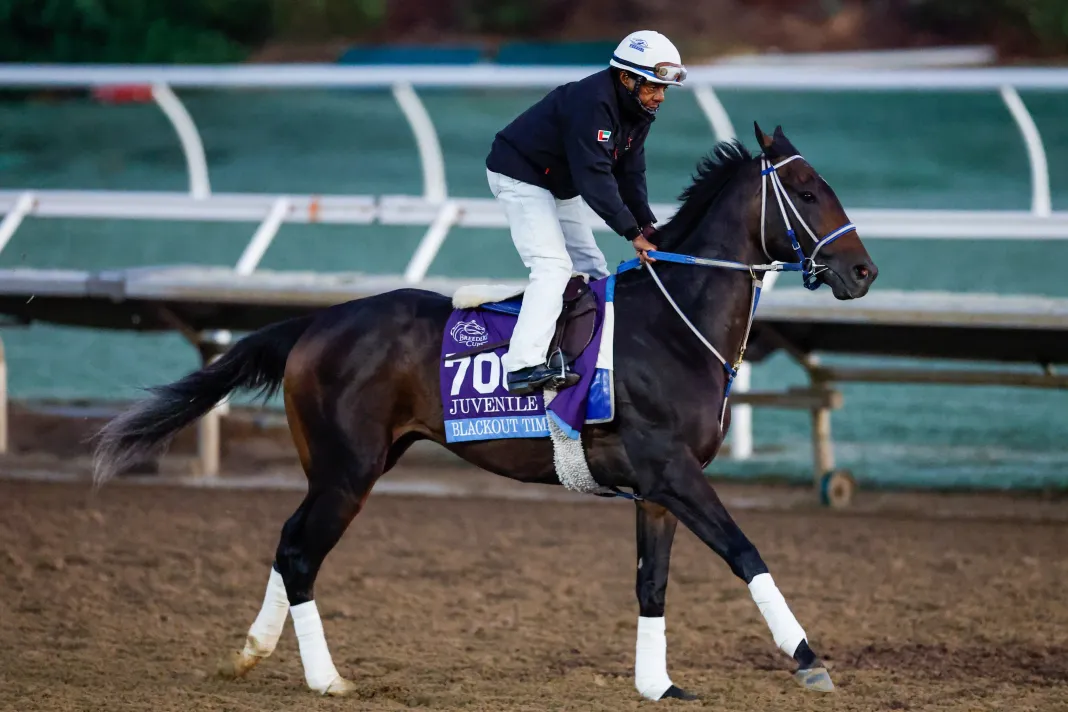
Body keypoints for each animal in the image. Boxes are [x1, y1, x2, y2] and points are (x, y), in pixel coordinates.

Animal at [90, 123, 878, 702]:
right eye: (808, 191)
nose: (863, 271)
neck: (673, 325)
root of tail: (315, 323)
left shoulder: (657, 489)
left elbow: (652, 583)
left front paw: (659, 685)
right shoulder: (675, 472)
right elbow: (747, 553)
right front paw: (808, 658)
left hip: (349, 466)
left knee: (288, 546)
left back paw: (249, 654)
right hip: (348, 469)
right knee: (298, 553)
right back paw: (327, 679)